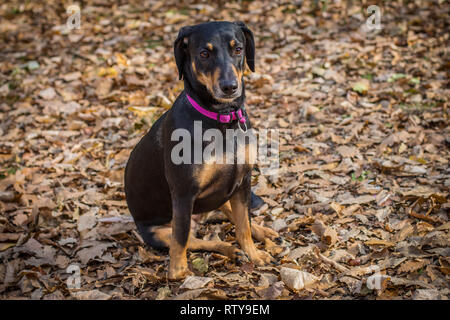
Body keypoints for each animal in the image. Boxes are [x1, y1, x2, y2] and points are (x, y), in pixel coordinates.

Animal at [124, 20, 278, 280]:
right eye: (204, 54)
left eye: (238, 49)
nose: (230, 87)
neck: (222, 120)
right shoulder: (183, 194)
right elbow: (180, 239)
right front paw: (178, 273)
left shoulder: (243, 180)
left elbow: (243, 226)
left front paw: (254, 254)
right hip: (159, 231)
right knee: (194, 240)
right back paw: (228, 250)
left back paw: (260, 233)